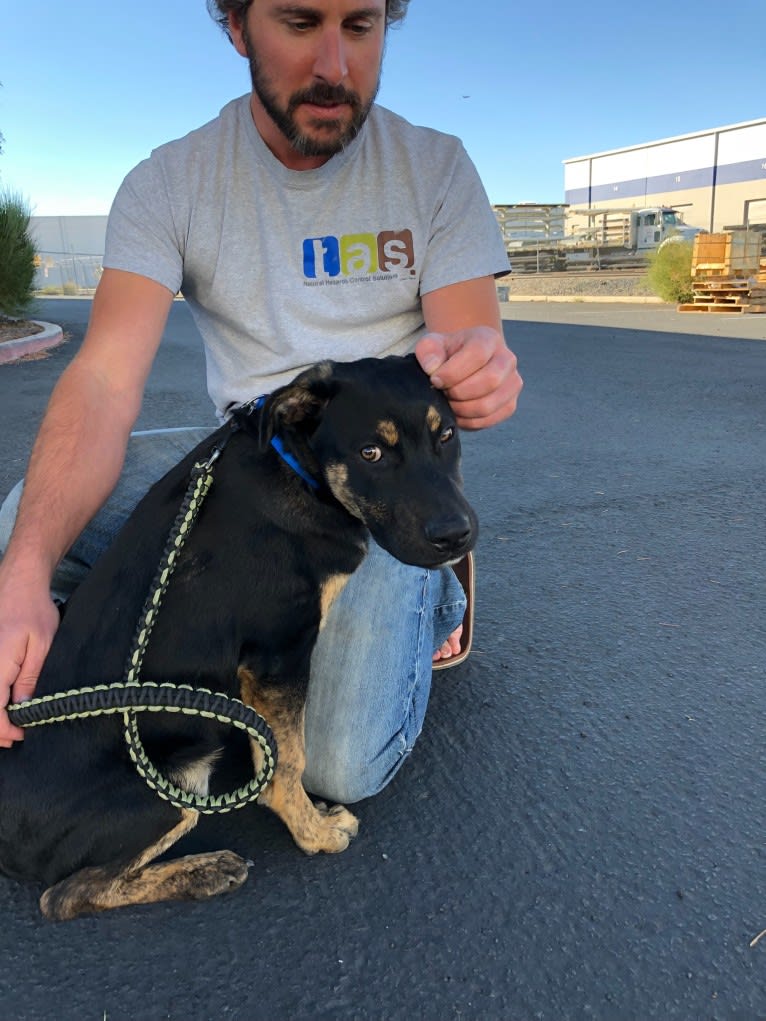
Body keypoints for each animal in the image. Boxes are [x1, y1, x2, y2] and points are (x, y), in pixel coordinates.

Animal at [0, 355, 480, 922]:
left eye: (446, 435)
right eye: (372, 453)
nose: (457, 536)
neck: (295, 467)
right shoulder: (279, 655)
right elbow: (290, 761)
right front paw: (315, 833)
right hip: (166, 788)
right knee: (68, 895)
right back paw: (205, 870)